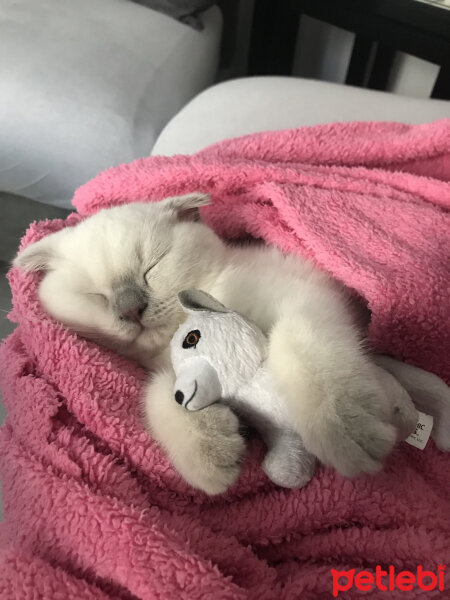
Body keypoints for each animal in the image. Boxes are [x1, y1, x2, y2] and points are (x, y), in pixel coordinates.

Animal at [13, 195, 418, 494]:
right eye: (96, 295)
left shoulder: (310, 294)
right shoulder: (173, 369)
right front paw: (210, 454)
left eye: (152, 267)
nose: (131, 309)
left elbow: (302, 347)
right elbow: (159, 395)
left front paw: (346, 431)